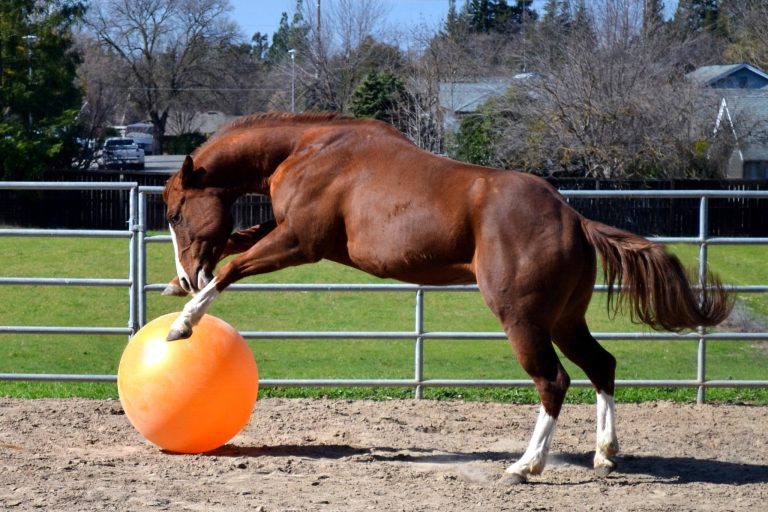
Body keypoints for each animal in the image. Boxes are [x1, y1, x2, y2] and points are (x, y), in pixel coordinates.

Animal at [162, 112, 731, 483]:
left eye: (174, 213)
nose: (187, 274)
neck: (311, 148)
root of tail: (573, 217)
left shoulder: (301, 242)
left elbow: (232, 267)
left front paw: (182, 322)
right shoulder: (285, 233)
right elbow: (237, 244)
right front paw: (176, 289)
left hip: (523, 321)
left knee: (554, 380)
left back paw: (525, 466)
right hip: (566, 321)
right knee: (602, 366)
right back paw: (605, 455)